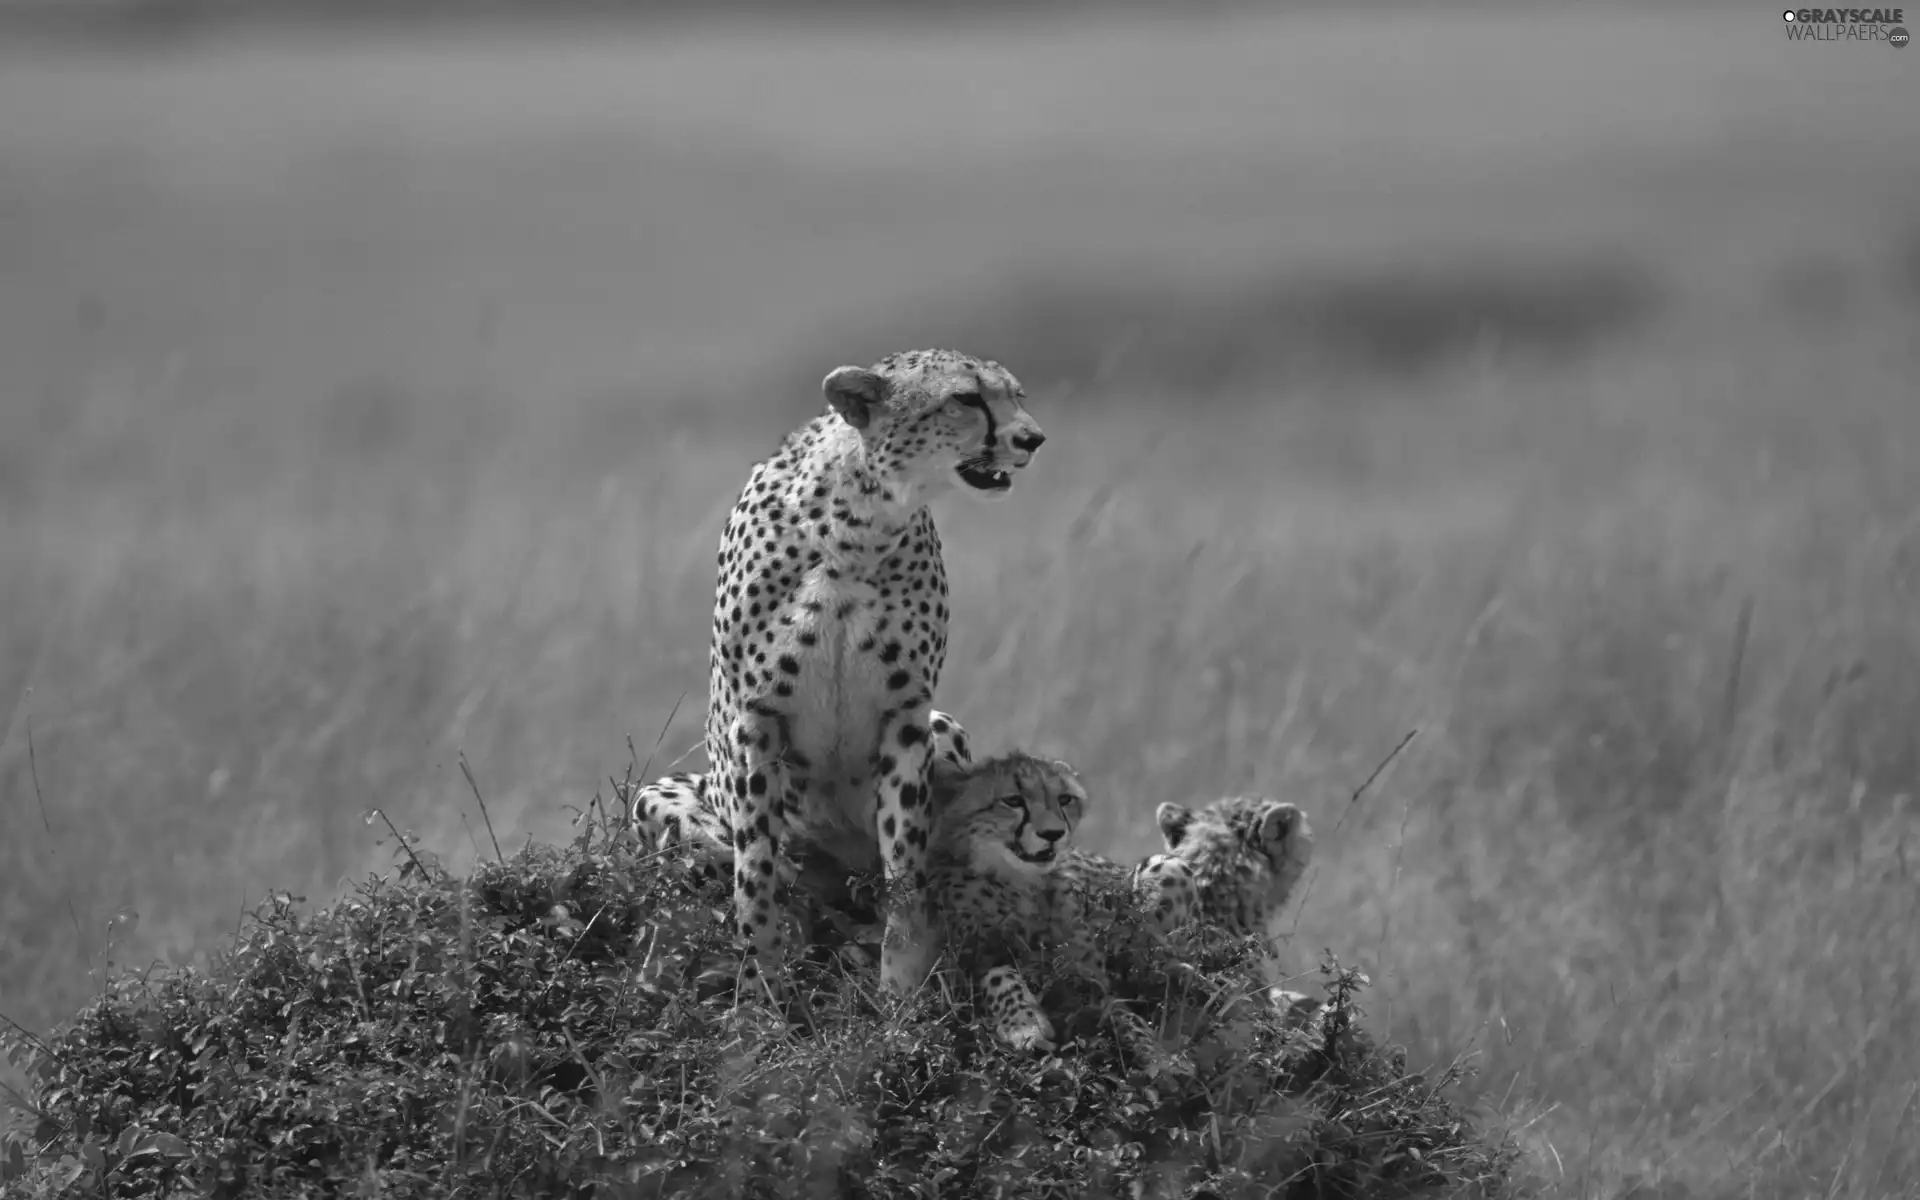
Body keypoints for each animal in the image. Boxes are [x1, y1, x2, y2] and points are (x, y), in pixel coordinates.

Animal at [706, 349, 1044, 998]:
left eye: (1015, 394)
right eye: (966, 399)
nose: (1033, 438)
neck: (856, 526)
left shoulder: (907, 717)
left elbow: (906, 866)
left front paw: (901, 989)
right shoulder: (755, 719)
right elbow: (755, 875)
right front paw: (761, 992)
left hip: (944, 727)